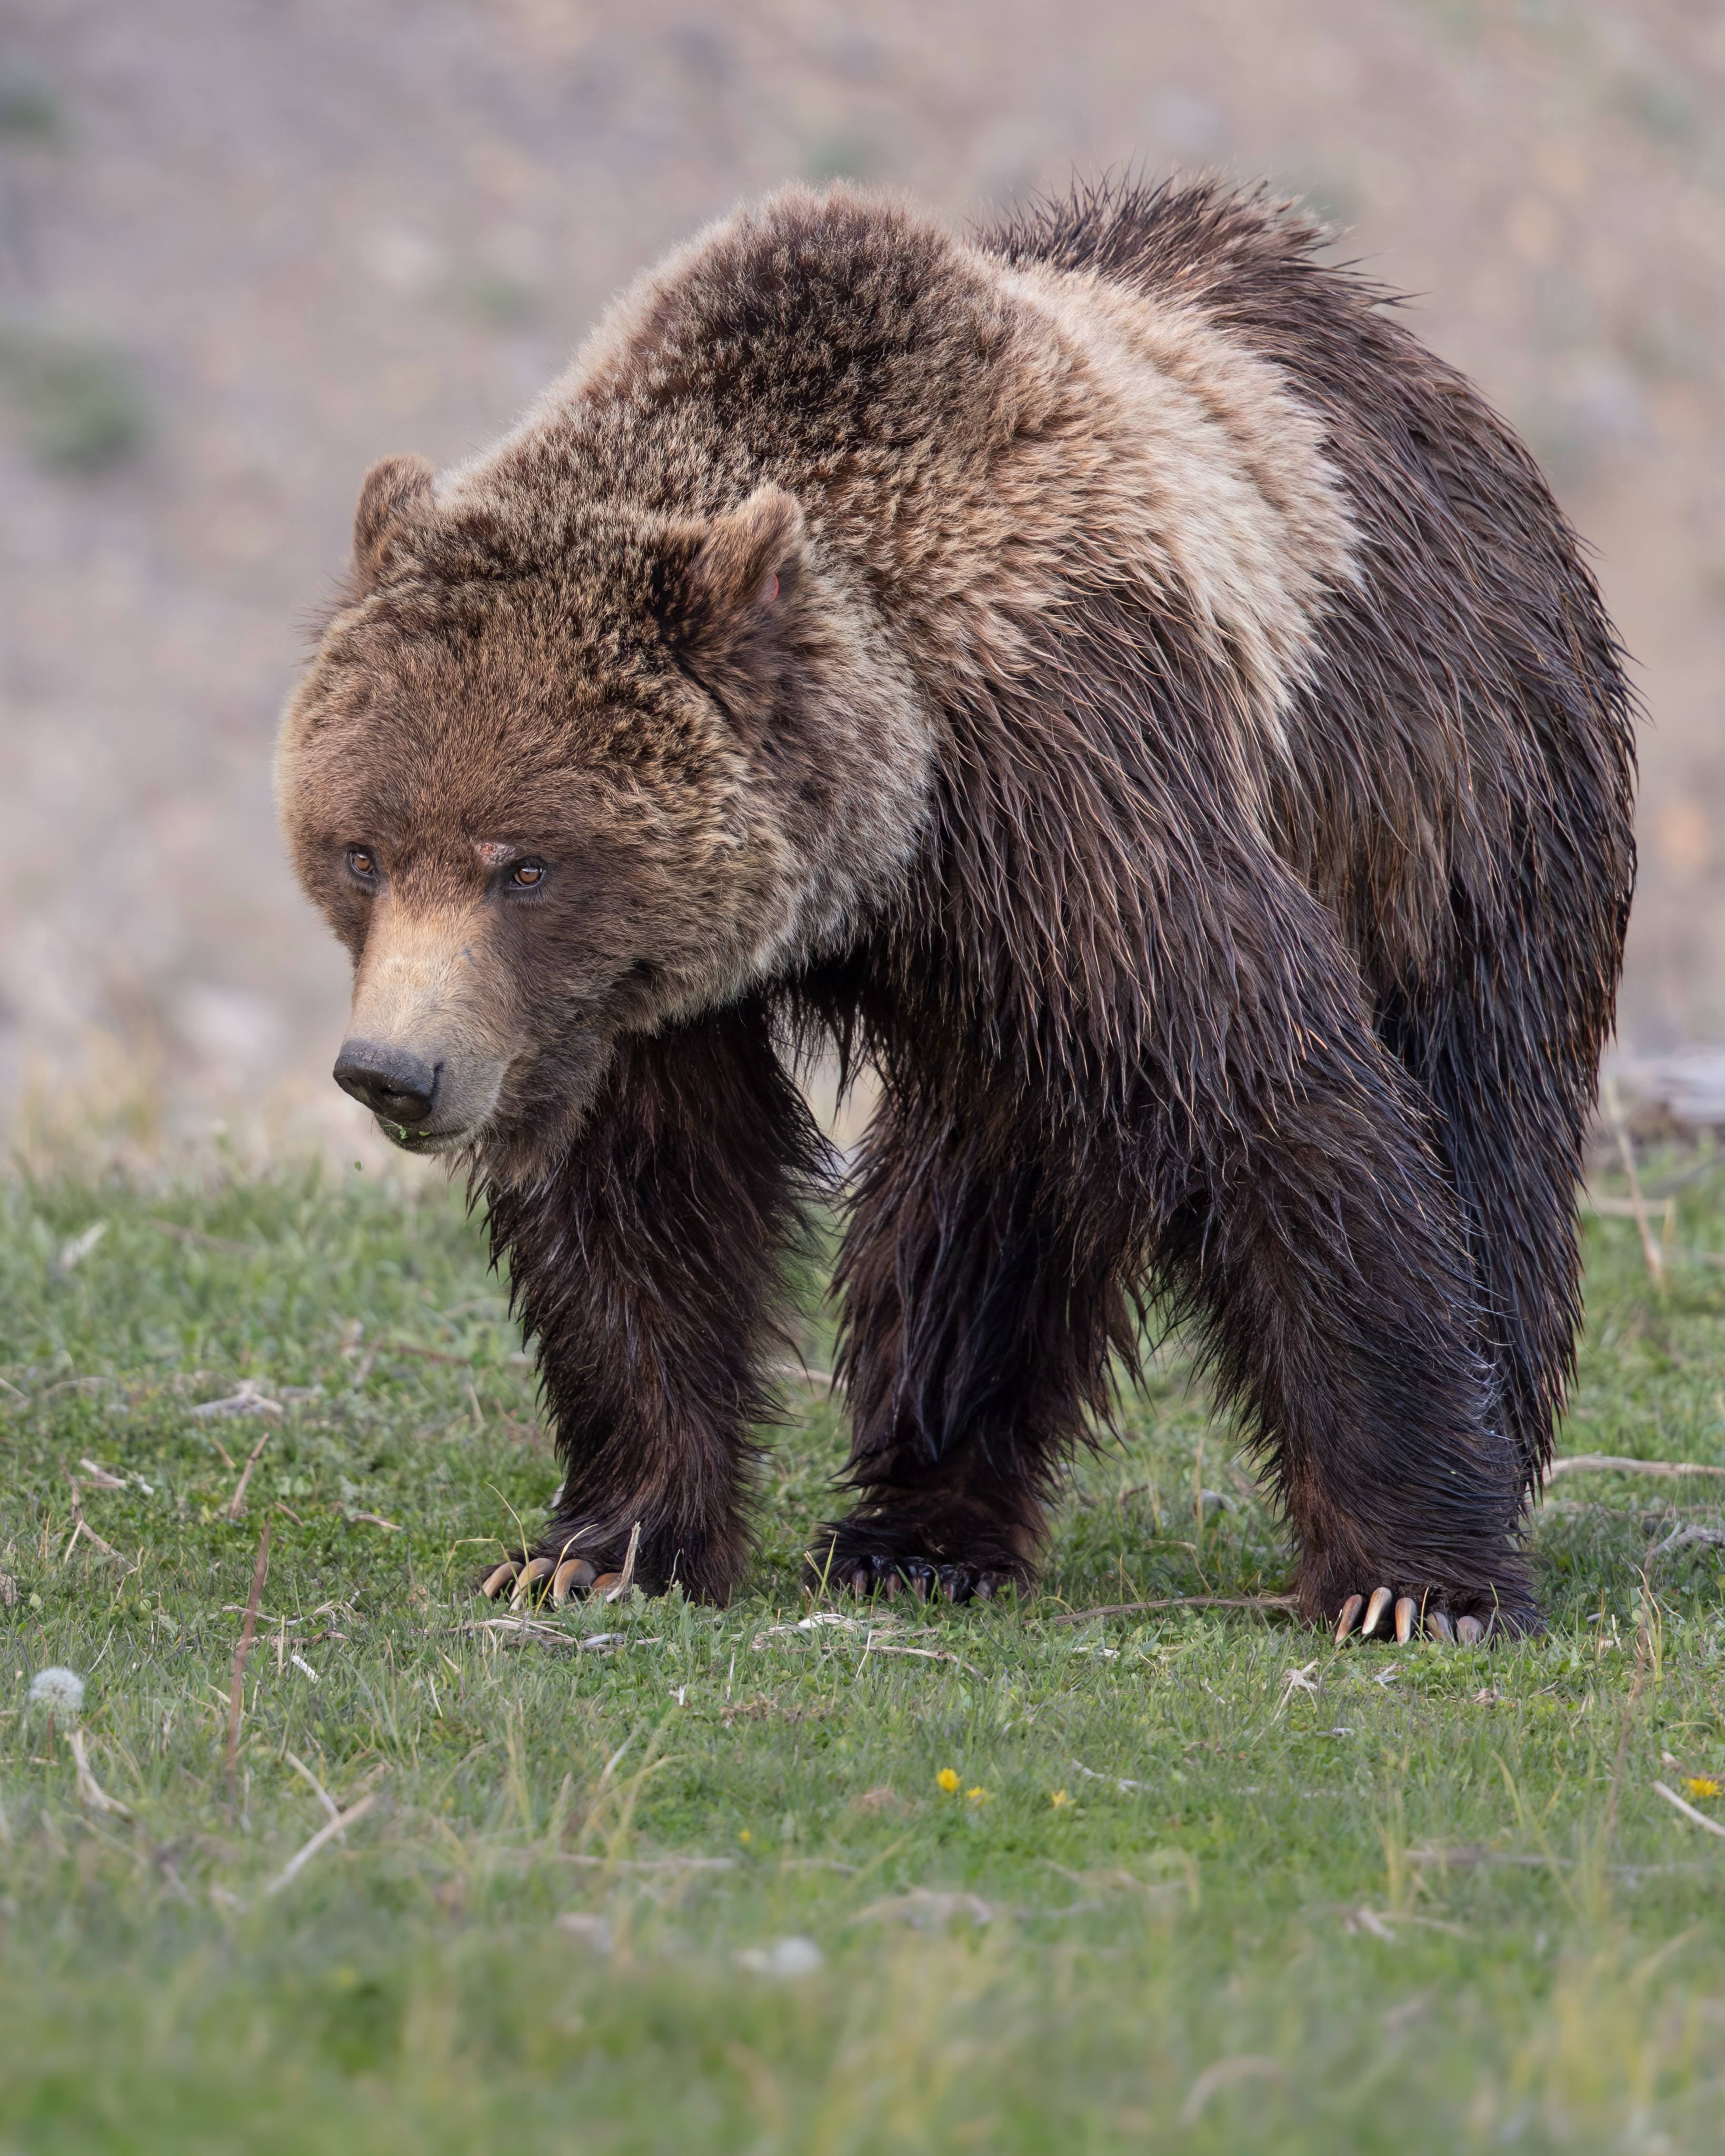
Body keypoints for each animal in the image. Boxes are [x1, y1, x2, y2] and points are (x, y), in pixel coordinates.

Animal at [278, 177, 1636, 1642]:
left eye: (523, 863)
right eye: (363, 850)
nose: (395, 1070)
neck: (896, 799)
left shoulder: (1078, 778)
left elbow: (1274, 1093)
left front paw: (1419, 1582)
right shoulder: (631, 998)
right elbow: (649, 1198)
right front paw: (599, 1542)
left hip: (1462, 790)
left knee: (1479, 1109)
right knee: (987, 1200)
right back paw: (920, 1525)